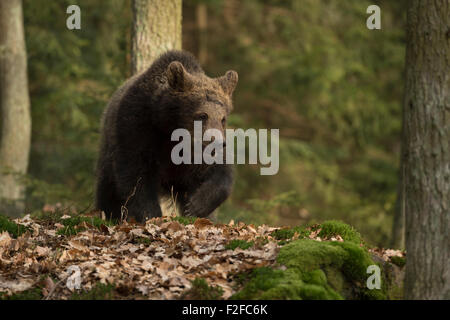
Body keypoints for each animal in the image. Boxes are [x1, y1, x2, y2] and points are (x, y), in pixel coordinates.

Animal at [95, 50, 239, 221]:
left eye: (223, 118)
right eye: (202, 115)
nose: (217, 142)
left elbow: (220, 173)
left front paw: (195, 206)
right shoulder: (137, 126)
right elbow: (136, 173)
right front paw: (150, 214)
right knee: (107, 187)